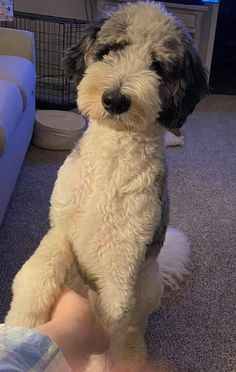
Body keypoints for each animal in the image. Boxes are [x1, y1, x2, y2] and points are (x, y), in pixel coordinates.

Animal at [6, 2, 206, 370]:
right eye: (111, 49)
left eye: (158, 66)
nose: (115, 99)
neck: (110, 162)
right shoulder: (63, 228)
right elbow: (35, 272)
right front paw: (21, 323)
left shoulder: (120, 263)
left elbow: (109, 332)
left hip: (148, 284)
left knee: (136, 325)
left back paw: (134, 353)